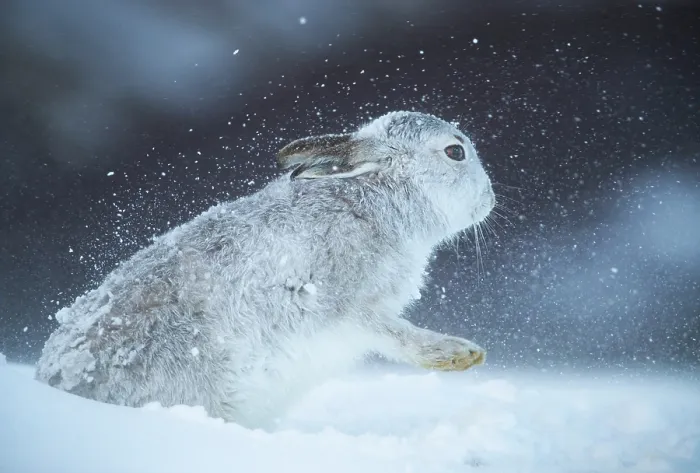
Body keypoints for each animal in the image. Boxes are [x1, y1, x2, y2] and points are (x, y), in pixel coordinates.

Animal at [35, 110, 496, 428]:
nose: (490, 199)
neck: (372, 200)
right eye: (455, 152)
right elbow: (392, 333)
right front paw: (460, 354)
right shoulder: (338, 302)